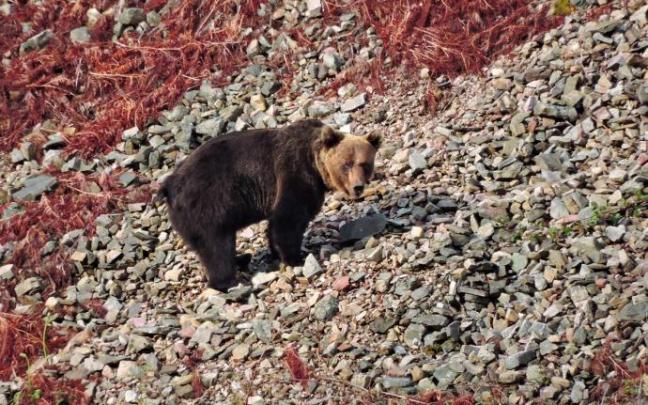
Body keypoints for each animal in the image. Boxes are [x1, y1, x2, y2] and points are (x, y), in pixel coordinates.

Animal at [158, 119, 381, 291]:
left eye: (365, 164)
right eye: (346, 164)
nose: (358, 187)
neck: (316, 165)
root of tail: (168, 186)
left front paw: (277, 253)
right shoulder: (294, 172)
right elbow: (288, 218)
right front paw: (296, 257)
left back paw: (242, 258)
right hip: (206, 205)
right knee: (216, 246)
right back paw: (227, 281)